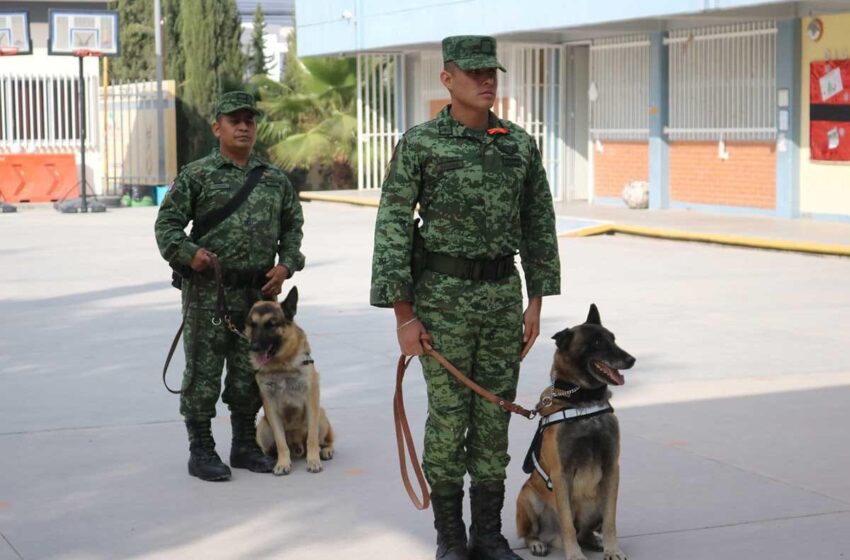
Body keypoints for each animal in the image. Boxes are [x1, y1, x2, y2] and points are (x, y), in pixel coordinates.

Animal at [243, 286, 332, 474]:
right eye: (252, 325)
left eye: (271, 324)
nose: (253, 347)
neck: (281, 365)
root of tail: (297, 446)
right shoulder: (270, 407)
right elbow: (280, 441)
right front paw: (282, 463)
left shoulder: (311, 401)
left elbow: (312, 438)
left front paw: (313, 460)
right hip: (263, 427)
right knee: (271, 446)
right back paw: (269, 457)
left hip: (321, 416)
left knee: (325, 440)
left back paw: (325, 450)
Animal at [512, 306, 632, 560]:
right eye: (596, 342)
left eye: (613, 339)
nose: (631, 360)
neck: (583, 401)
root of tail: (552, 538)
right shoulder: (561, 474)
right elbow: (566, 521)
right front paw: (575, 555)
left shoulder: (611, 468)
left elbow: (610, 520)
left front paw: (612, 549)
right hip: (527, 496)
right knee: (532, 534)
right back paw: (538, 543)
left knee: (585, 531)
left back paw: (594, 540)